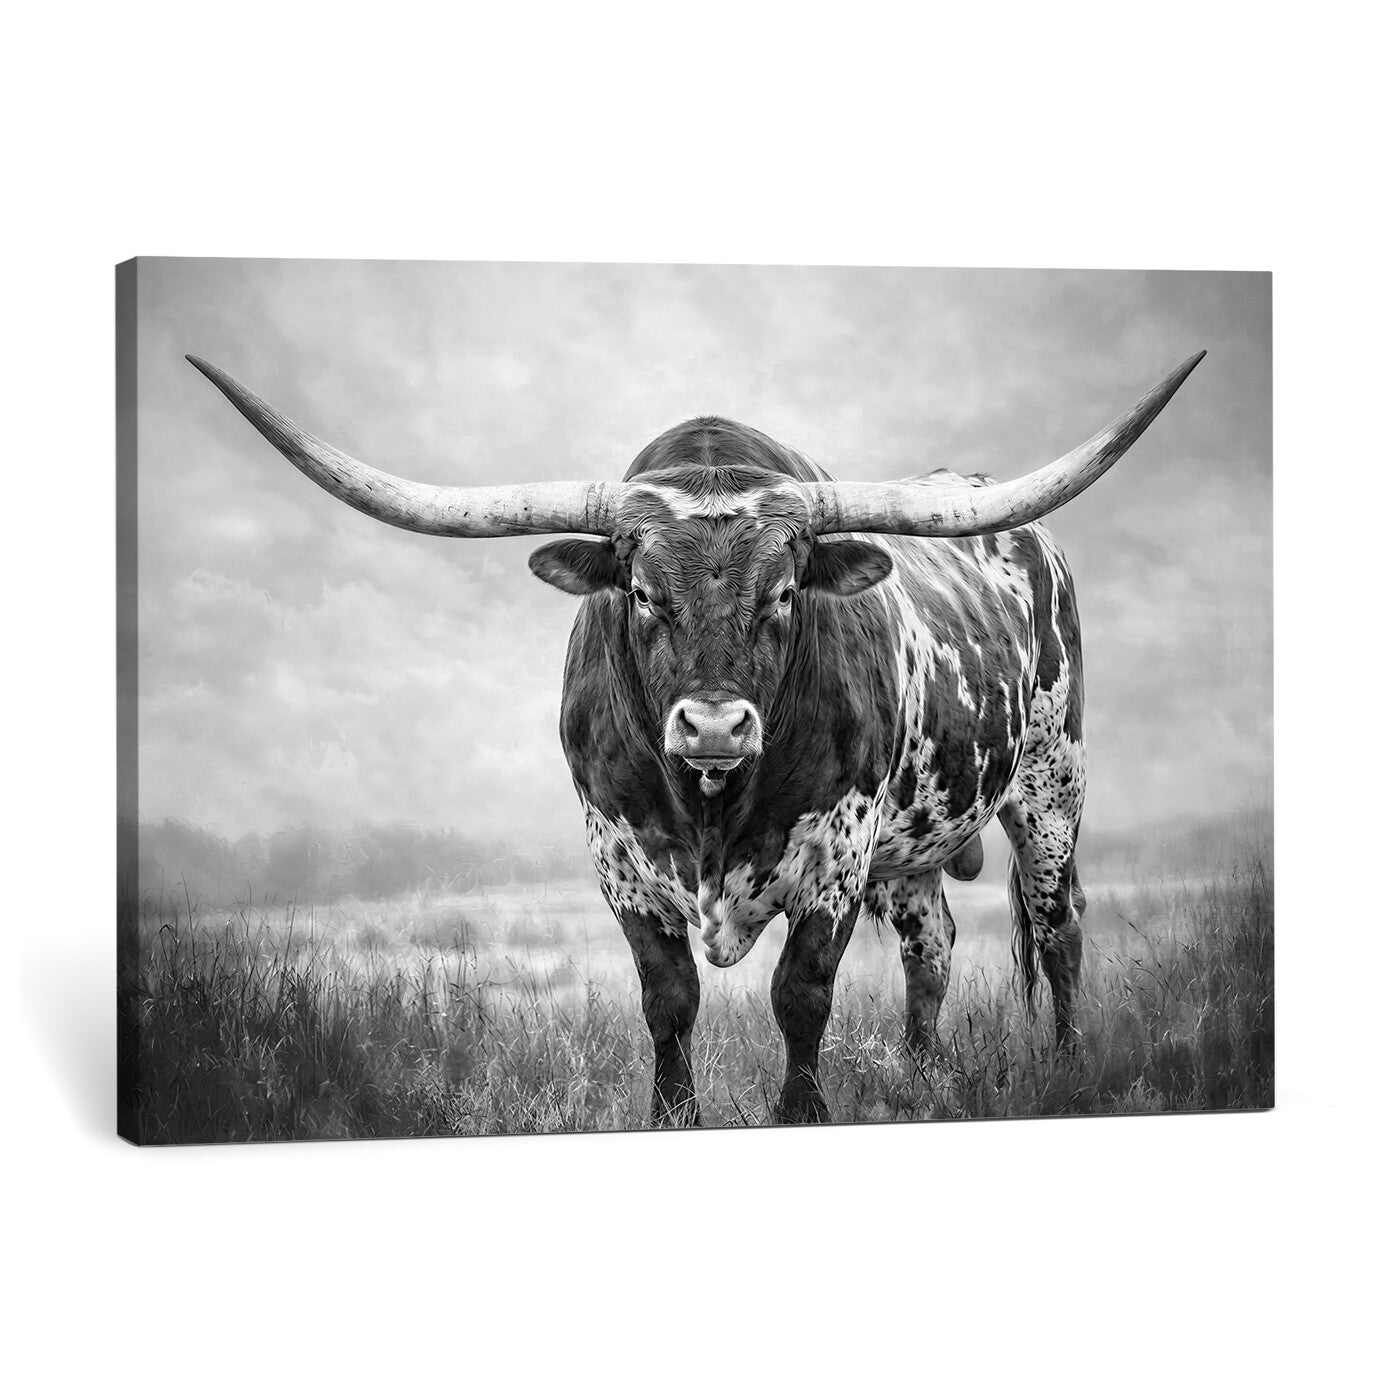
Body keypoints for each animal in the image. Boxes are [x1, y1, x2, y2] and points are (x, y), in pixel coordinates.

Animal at [189, 349, 1204, 1125]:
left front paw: (803, 1113)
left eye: (785, 592)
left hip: (1051, 786)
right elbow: (668, 1001)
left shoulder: (836, 857)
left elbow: (801, 994)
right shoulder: (620, 862)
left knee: (1058, 925)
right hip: (915, 846)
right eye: (641, 592)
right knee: (934, 945)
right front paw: (672, 1115)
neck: (713, 804)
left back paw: (1066, 1066)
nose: (714, 724)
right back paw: (922, 1077)